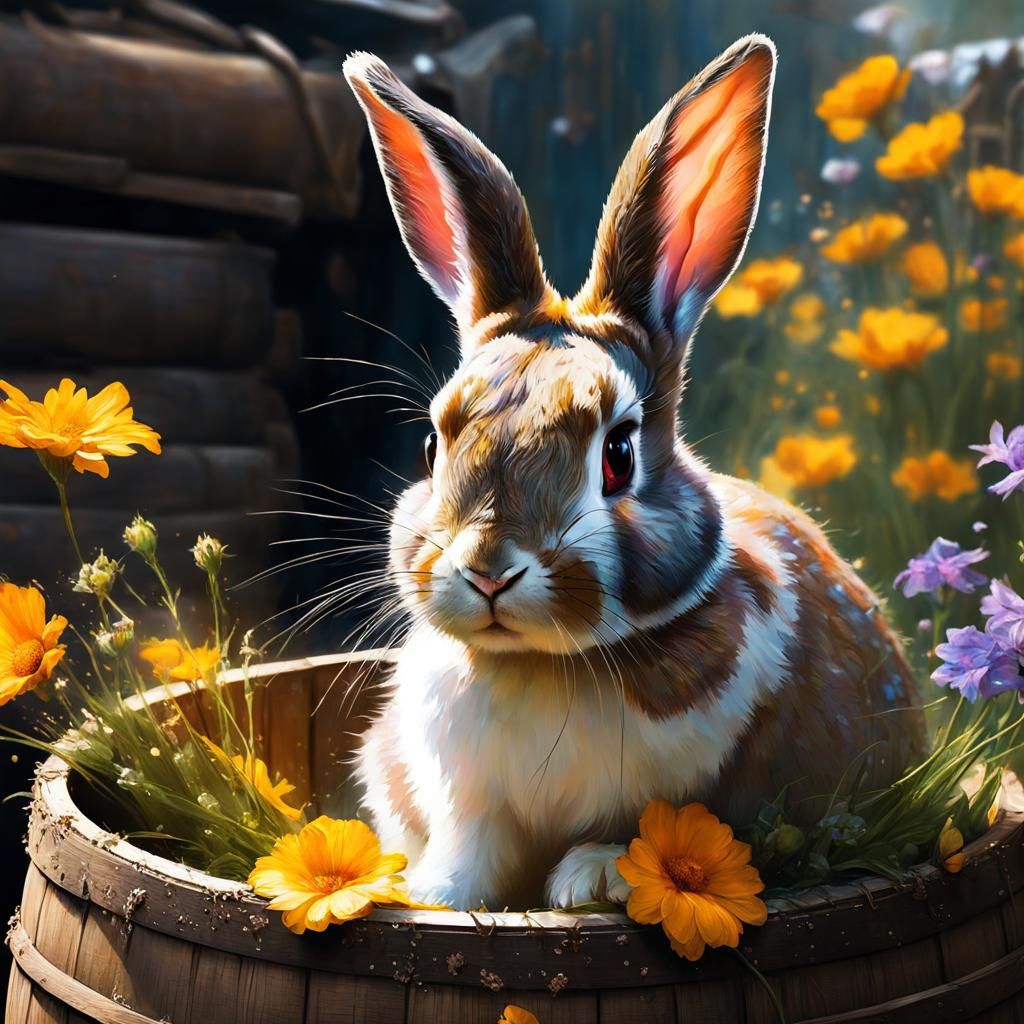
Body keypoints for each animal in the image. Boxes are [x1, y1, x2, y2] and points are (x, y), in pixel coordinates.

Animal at [343, 35, 924, 911]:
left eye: (618, 455)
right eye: (431, 448)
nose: (488, 572)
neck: (547, 666)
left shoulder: (682, 791)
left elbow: (650, 834)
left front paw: (592, 880)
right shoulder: (471, 807)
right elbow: (468, 858)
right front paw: (430, 899)